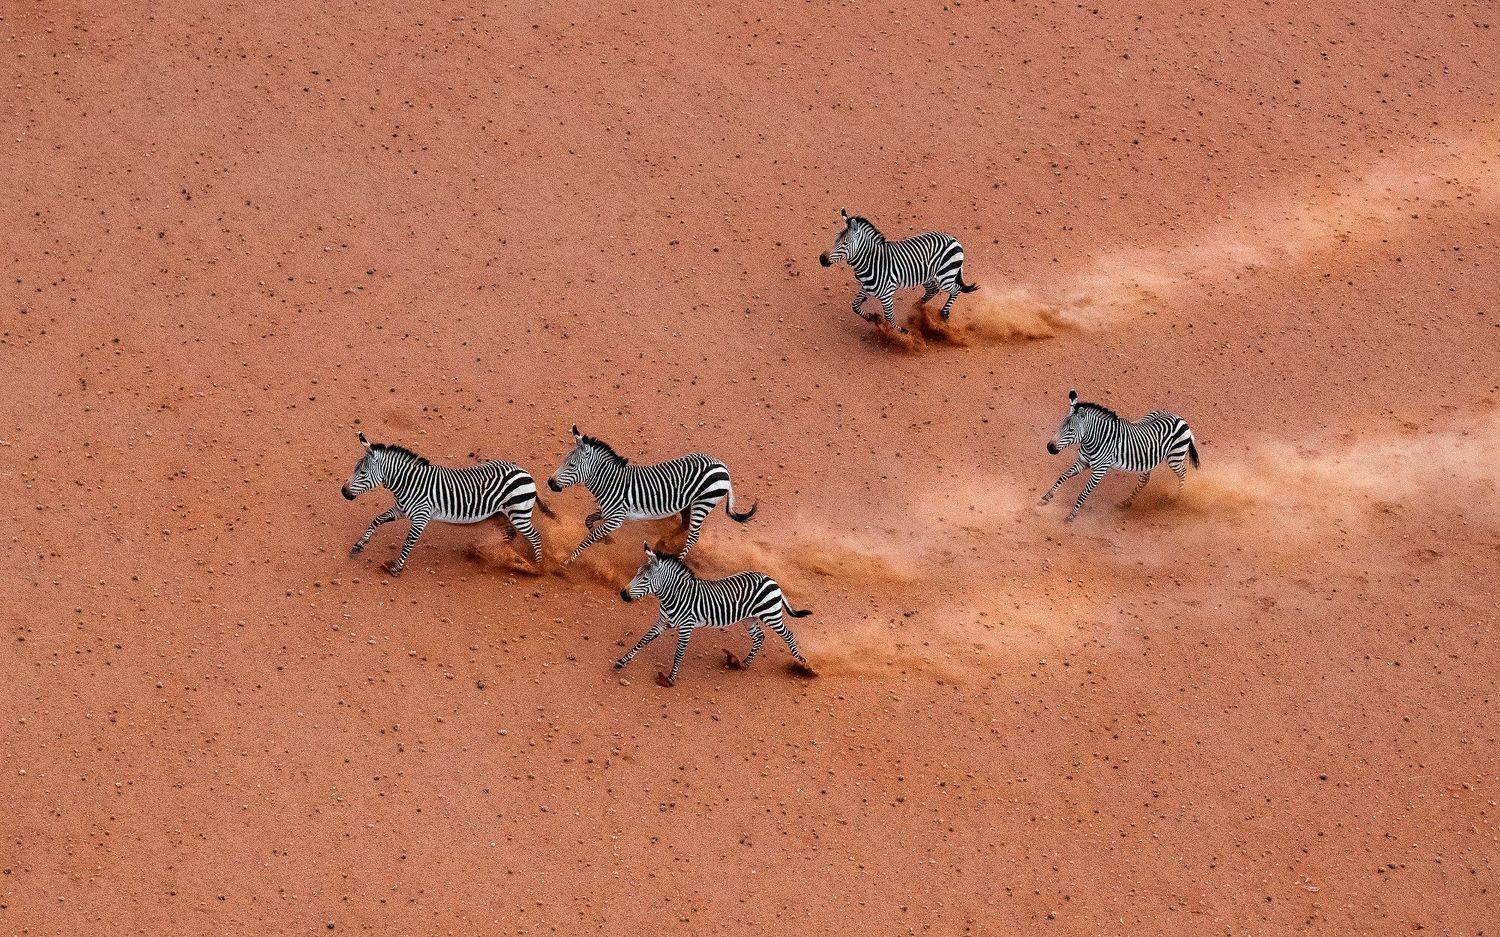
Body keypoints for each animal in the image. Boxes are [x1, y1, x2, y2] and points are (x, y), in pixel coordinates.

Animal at [341, 432, 544, 574]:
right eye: (355, 469)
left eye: (363, 473)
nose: (343, 492)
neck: (408, 483)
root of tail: (524, 472)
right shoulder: (401, 510)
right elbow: (377, 520)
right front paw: (358, 546)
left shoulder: (421, 517)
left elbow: (408, 542)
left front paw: (396, 568)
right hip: (500, 513)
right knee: (510, 535)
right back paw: (488, 552)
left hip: (519, 514)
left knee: (535, 536)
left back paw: (537, 568)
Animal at [546, 425, 757, 564]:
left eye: (571, 465)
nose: (549, 483)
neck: (610, 482)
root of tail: (722, 467)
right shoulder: (610, 513)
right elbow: (589, 521)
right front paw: (606, 540)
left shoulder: (616, 518)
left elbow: (590, 537)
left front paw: (568, 560)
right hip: (689, 502)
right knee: (685, 524)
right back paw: (663, 545)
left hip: (704, 502)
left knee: (694, 535)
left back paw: (677, 559)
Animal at [617, 543, 811, 686]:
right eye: (637, 573)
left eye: (645, 579)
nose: (623, 595)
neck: (675, 595)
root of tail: (771, 579)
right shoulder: (663, 621)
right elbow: (643, 640)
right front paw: (622, 661)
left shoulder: (686, 626)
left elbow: (678, 653)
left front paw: (670, 679)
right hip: (749, 618)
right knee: (759, 636)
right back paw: (743, 664)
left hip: (771, 615)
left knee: (788, 634)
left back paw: (803, 665)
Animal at [818, 208, 978, 333]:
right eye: (835, 240)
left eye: (845, 243)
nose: (822, 259)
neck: (872, 262)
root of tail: (953, 239)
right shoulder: (866, 288)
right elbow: (855, 306)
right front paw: (872, 318)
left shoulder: (887, 294)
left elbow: (889, 317)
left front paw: (902, 334)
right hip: (927, 276)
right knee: (933, 290)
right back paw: (917, 309)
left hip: (945, 275)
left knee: (955, 289)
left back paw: (943, 314)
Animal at [1040, 390, 1200, 521]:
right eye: (1060, 425)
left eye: (1071, 430)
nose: (1050, 448)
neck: (1093, 440)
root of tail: (1181, 419)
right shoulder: (1082, 462)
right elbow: (1063, 476)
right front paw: (1046, 498)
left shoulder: (1100, 470)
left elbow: (1083, 493)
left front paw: (1072, 515)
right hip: (1149, 457)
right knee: (1144, 479)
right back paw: (1126, 502)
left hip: (1175, 456)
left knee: (1183, 473)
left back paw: (1176, 499)